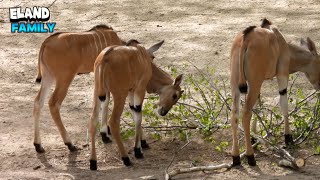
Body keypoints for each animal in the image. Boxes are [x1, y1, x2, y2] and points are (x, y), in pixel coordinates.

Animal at [32, 24, 125, 153]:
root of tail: (46, 42)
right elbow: (105, 100)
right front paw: (104, 134)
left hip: (48, 77)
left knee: (38, 102)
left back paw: (38, 145)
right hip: (64, 79)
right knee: (53, 103)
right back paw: (70, 144)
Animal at [89, 39, 185, 170]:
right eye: (175, 95)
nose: (163, 112)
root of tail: (105, 58)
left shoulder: (131, 91)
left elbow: (135, 113)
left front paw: (143, 143)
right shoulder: (140, 89)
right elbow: (139, 116)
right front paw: (138, 150)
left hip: (98, 93)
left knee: (93, 120)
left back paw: (93, 162)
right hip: (119, 94)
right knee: (113, 121)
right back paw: (126, 159)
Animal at [231, 19, 320, 167]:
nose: (319, 85)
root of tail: (246, 39)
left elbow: (258, 106)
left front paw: (255, 137)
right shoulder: (282, 74)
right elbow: (283, 104)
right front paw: (288, 138)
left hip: (237, 86)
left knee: (235, 114)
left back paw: (236, 157)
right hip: (254, 83)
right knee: (246, 113)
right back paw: (250, 156)